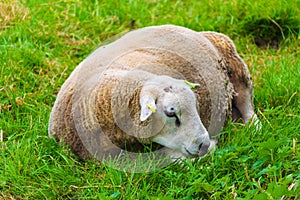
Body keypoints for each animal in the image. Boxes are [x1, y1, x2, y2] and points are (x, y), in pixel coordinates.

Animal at [48, 25, 258, 168]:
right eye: (171, 113)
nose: (203, 144)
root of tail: (198, 32)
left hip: (239, 73)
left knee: (249, 108)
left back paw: (251, 128)